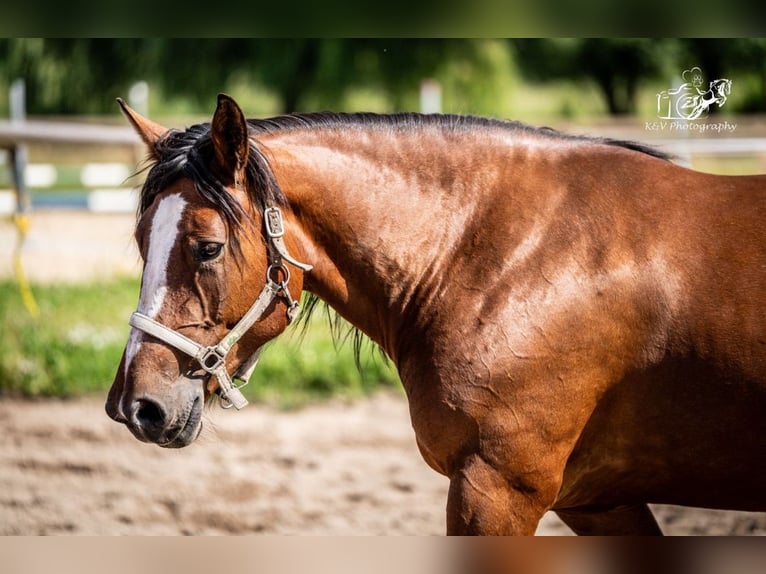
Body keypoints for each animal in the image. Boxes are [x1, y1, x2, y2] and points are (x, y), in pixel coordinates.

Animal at [106, 93, 766, 536]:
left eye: (207, 247)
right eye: (139, 240)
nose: (136, 407)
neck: (511, 256)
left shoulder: (495, 490)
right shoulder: (598, 501)